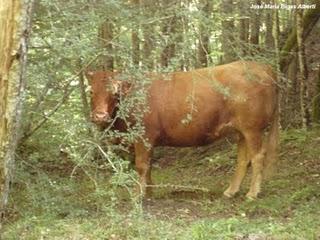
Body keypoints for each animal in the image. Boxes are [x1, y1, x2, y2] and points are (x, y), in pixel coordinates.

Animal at [86, 61, 278, 200]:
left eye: (114, 93)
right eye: (91, 92)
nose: (100, 116)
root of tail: (261, 66)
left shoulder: (143, 137)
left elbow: (141, 165)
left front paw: (138, 195)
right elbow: (148, 166)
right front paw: (149, 193)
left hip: (252, 129)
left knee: (258, 157)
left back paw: (252, 193)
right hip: (241, 131)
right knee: (243, 159)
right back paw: (231, 191)